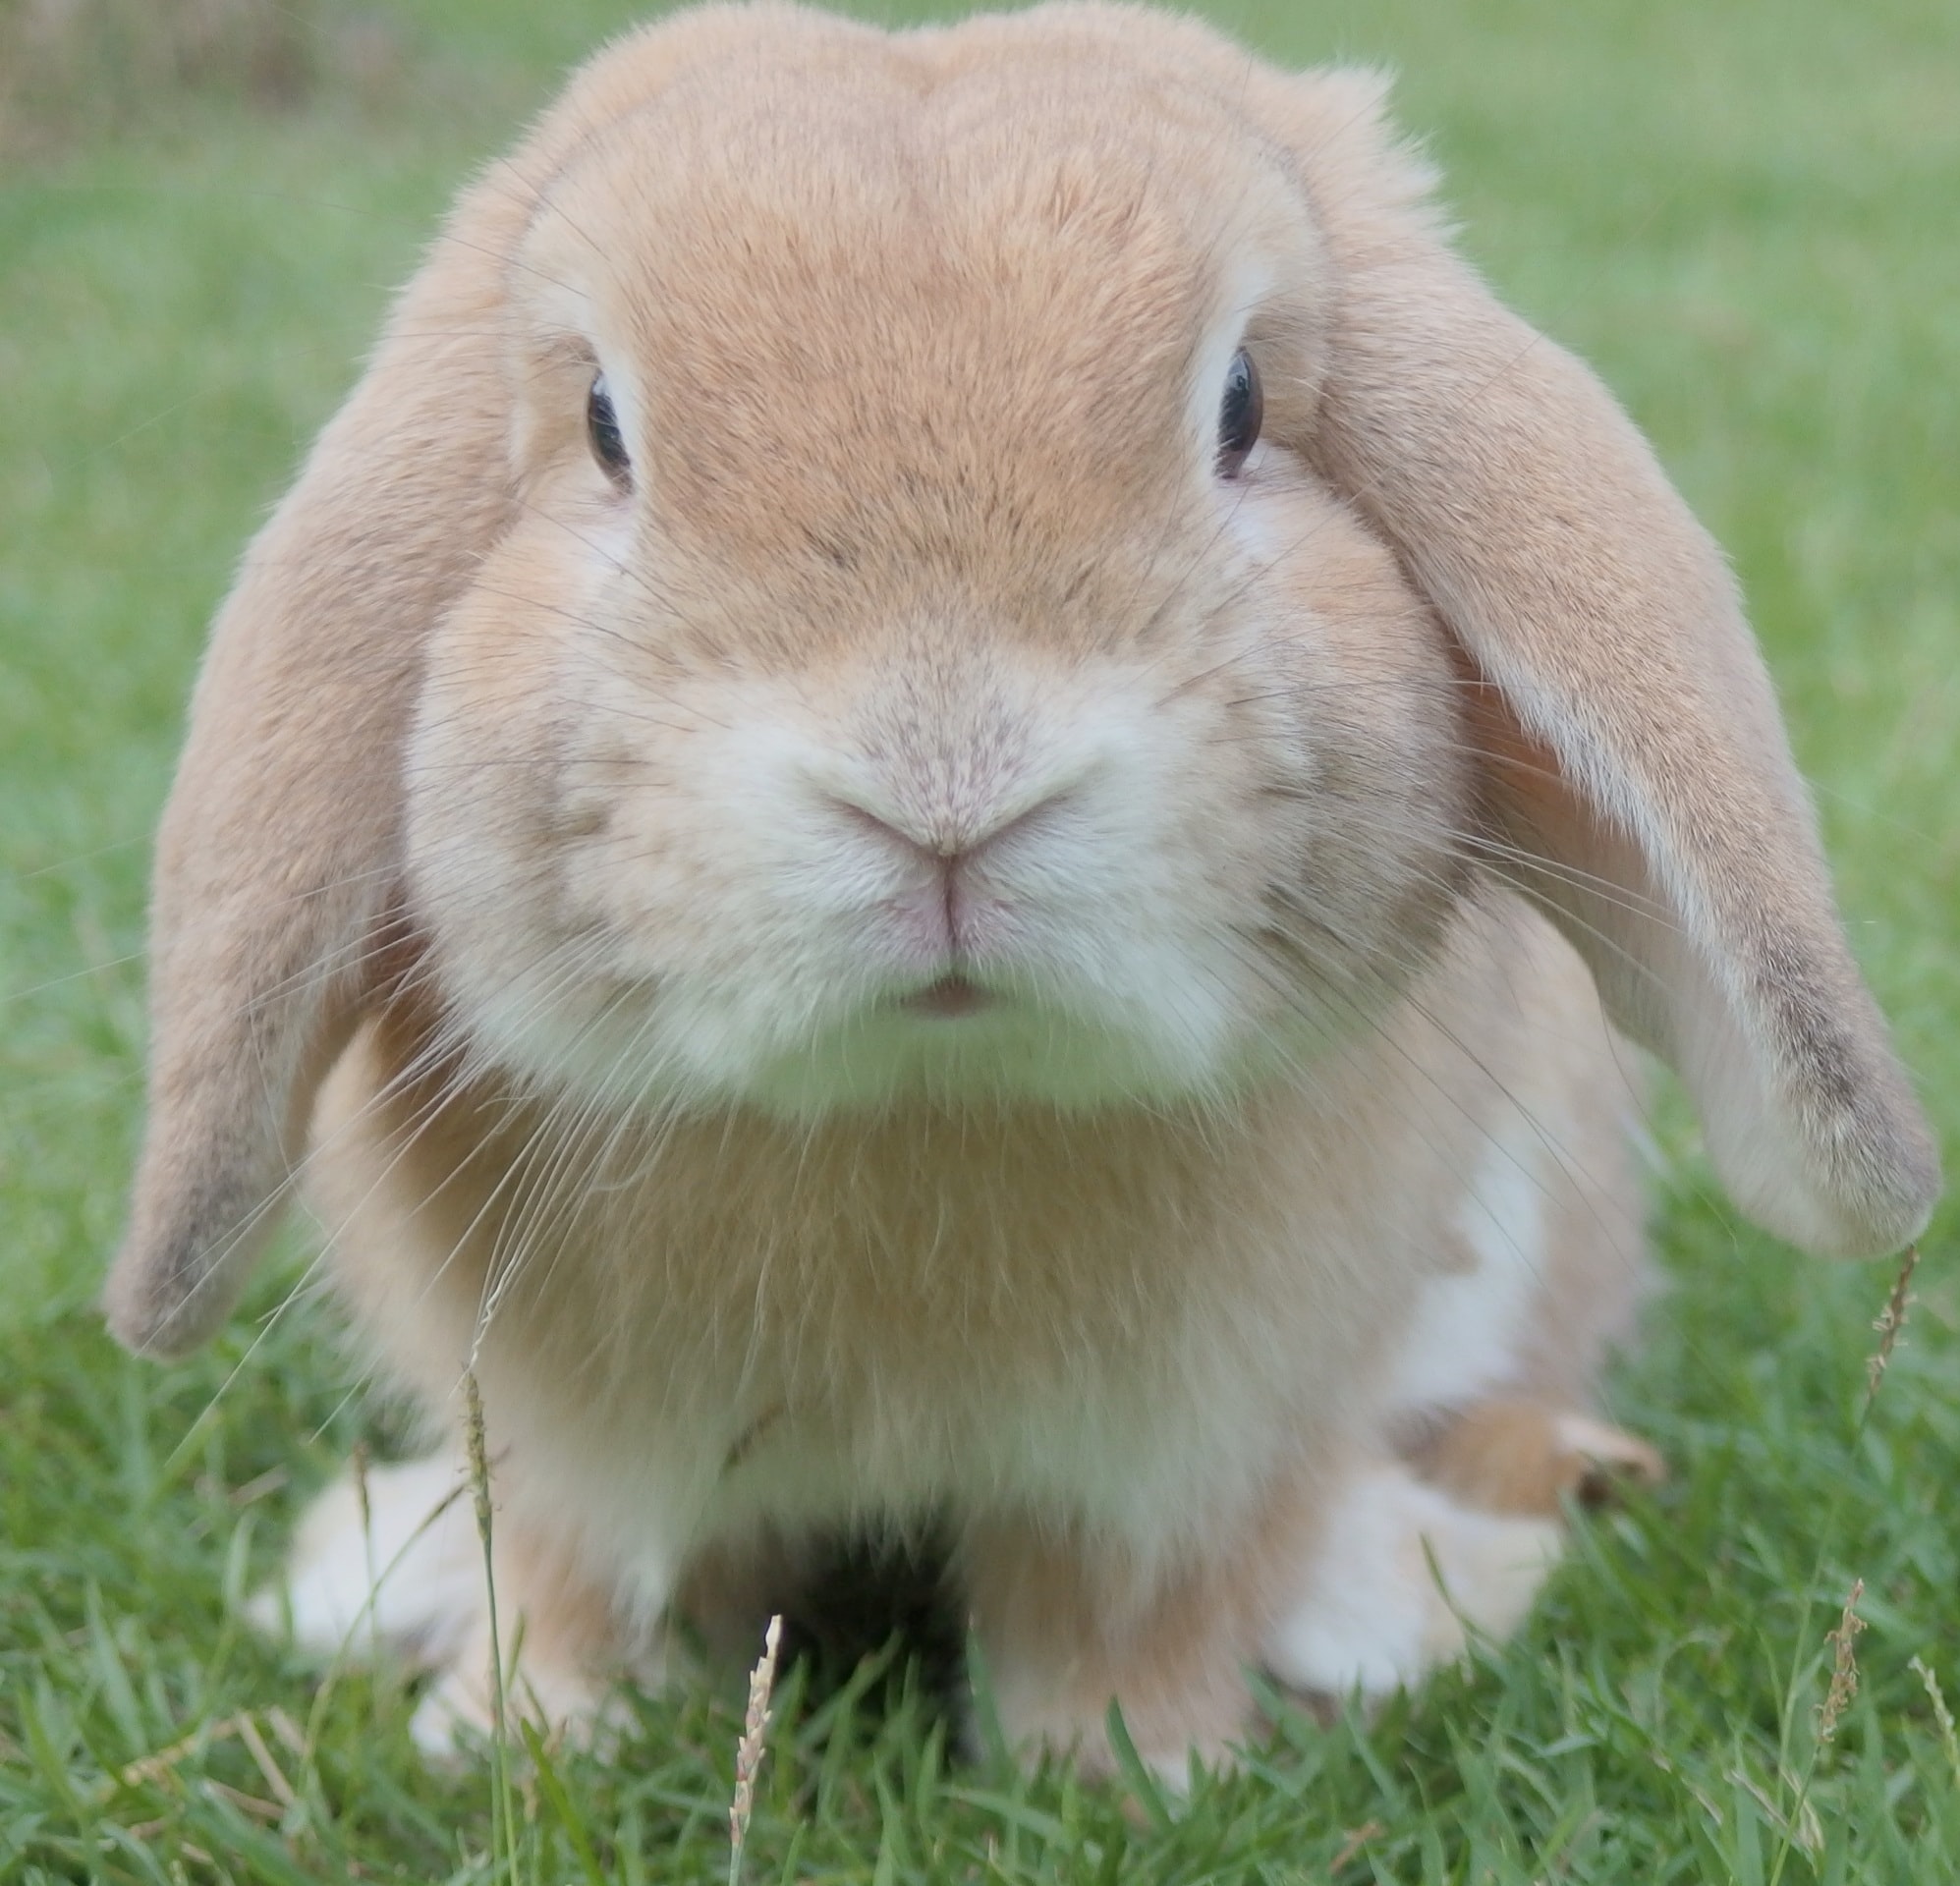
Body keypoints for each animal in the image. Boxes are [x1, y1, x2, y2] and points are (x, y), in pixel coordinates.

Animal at [107, 0, 1944, 1772]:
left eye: (1242, 407)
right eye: (605, 429)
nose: (943, 784)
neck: (926, 1103)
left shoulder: (1185, 1462)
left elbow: (1122, 1611)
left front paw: (1130, 1772)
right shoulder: (566, 1450)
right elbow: (579, 1582)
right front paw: (520, 1738)